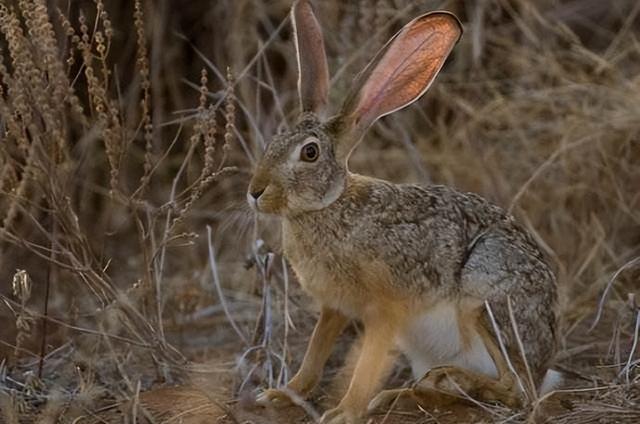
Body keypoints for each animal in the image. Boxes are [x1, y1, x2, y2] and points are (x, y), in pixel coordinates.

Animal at [248, 1, 556, 422]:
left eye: (309, 153)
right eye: (273, 142)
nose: (255, 192)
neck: (331, 205)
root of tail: (546, 362)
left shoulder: (385, 309)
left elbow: (365, 365)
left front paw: (344, 412)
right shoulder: (334, 307)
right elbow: (315, 353)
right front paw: (280, 394)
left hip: (484, 295)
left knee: (517, 389)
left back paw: (444, 383)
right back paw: (409, 394)